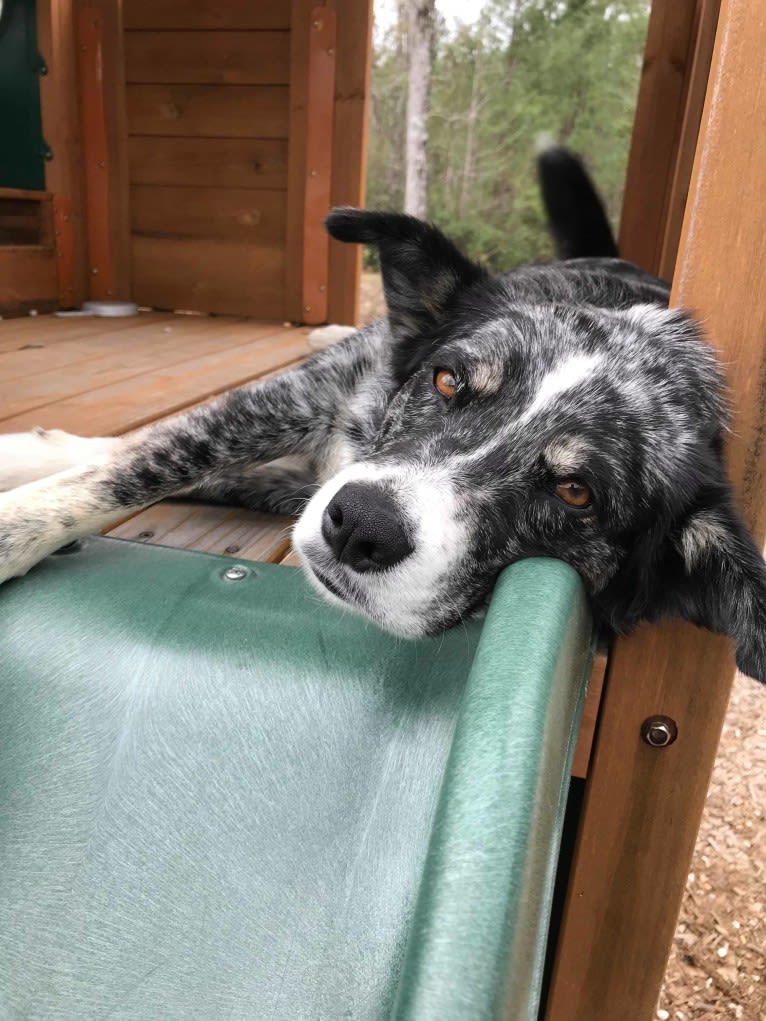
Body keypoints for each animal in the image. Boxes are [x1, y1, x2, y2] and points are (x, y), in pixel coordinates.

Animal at [1, 148, 766, 682]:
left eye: (577, 492)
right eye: (448, 381)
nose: (360, 525)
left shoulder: (301, 479)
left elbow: (159, 462)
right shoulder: (314, 396)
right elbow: (139, 463)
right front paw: (18, 518)